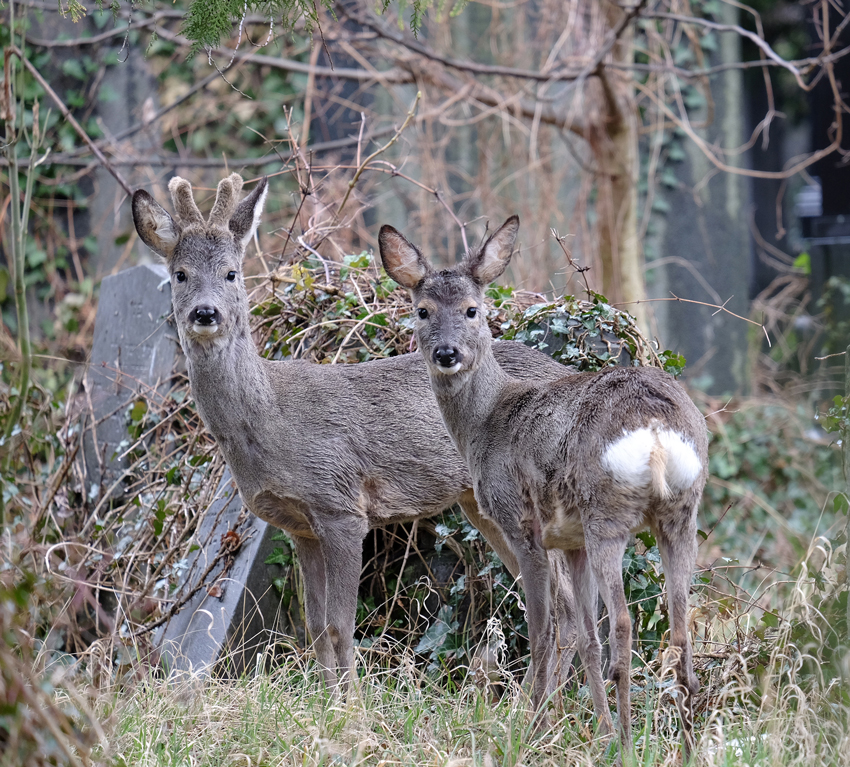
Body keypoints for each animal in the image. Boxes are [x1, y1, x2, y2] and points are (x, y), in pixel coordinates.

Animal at [131, 177, 576, 692]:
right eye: (180, 274)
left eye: (231, 273)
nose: (205, 313)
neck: (267, 419)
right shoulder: (299, 526)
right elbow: (315, 627)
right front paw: (328, 698)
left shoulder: (340, 504)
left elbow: (341, 625)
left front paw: (349, 703)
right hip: (478, 502)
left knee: (562, 600)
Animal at [380, 212, 704, 756]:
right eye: (422, 311)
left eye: (472, 309)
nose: (446, 353)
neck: (486, 420)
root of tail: (657, 429)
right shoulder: (568, 541)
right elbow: (583, 634)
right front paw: (591, 727)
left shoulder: (522, 523)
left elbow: (545, 629)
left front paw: (532, 729)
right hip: (681, 512)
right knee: (678, 629)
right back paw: (679, 746)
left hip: (606, 513)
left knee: (623, 622)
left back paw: (628, 744)